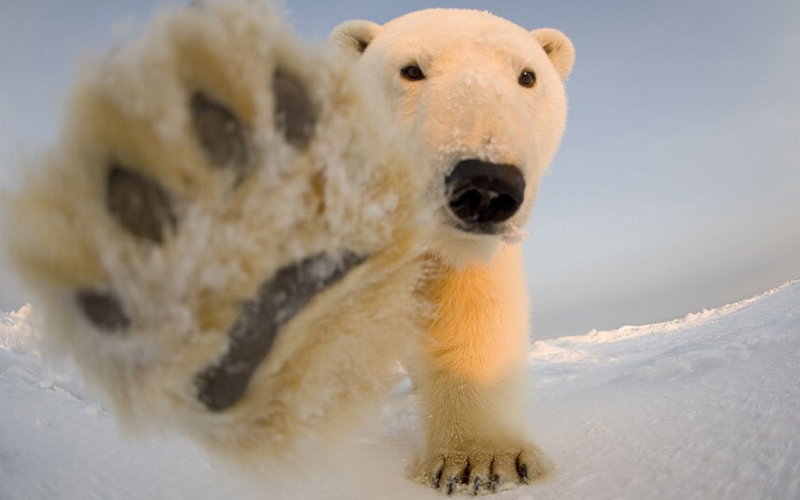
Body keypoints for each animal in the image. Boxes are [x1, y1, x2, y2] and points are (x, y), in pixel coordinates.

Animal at [332, 8, 576, 496]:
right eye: (410, 69)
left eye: (527, 75)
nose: (486, 186)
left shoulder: (460, 250)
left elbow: (470, 315)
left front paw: (483, 462)